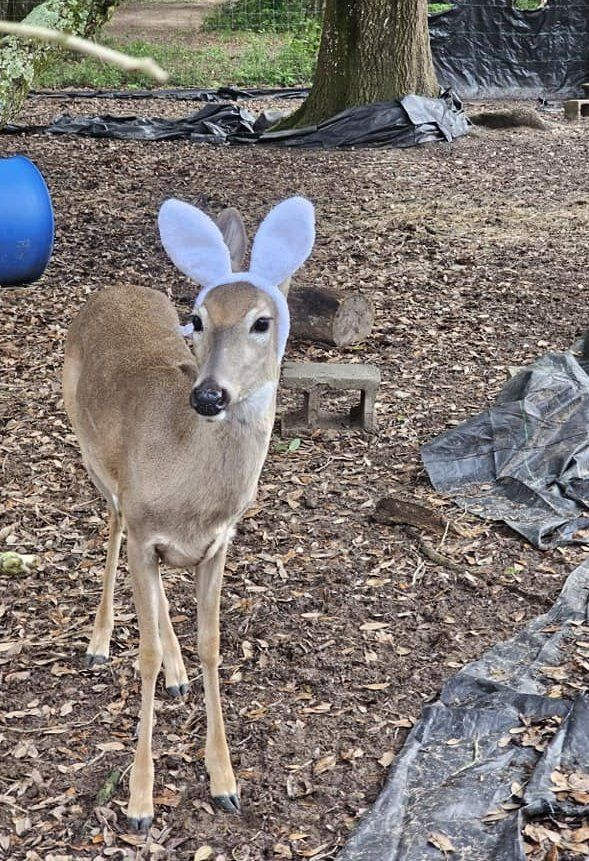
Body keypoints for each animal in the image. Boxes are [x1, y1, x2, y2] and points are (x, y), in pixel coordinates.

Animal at [62, 196, 315, 830]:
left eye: (262, 321)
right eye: (197, 320)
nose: (208, 395)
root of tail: (113, 289)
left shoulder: (218, 544)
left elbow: (211, 644)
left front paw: (225, 780)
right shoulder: (143, 526)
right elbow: (146, 653)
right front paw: (140, 800)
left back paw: (176, 674)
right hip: (93, 457)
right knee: (110, 527)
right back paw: (99, 640)